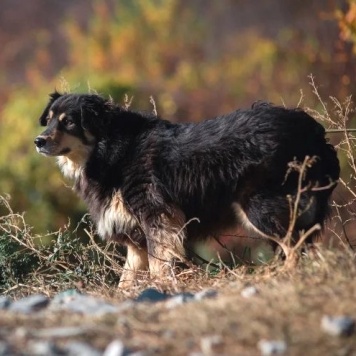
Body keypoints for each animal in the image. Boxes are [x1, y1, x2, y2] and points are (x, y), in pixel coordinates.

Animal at [34, 93, 340, 288]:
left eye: (69, 121)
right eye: (49, 120)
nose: (38, 141)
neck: (108, 150)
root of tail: (313, 131)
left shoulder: (158, 219)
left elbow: (159, 266)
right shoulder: (135, 237)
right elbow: (126, 281)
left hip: (261, 207)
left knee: (294, 249)